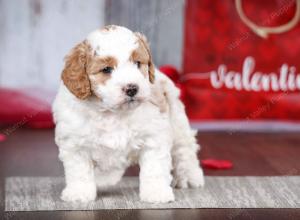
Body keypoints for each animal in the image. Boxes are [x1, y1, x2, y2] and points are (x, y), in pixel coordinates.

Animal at [52, 25, 205, 203]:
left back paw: (190, 176)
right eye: (106, 69)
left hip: (177, 121)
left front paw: (156, 192)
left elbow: (154, 168)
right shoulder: (75, 143)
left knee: (184, 150)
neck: (111, 113)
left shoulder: (153, 136)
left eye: (137, 63)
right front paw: (79, 193)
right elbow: (79, 171)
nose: (132, 88)